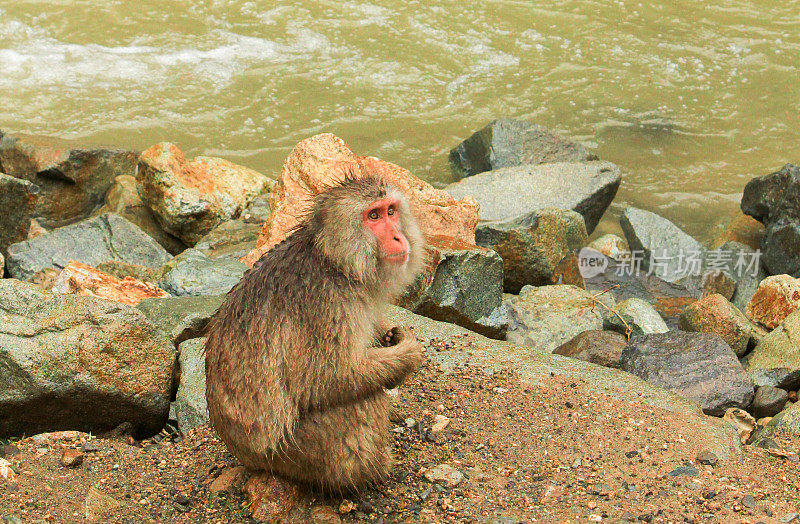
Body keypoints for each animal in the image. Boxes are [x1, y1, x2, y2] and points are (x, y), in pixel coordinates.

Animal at [206, 173, 428, 492]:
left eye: (390, 211)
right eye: (373, 216)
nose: (399, 237)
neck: (334, 260)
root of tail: (244, 455)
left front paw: (390, 337)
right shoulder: (328, 304)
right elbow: (326, 379)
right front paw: (409, 352)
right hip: (293, 453)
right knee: (360, 399)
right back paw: (374, 470)